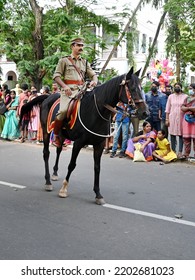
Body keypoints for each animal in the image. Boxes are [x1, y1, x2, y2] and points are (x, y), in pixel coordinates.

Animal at [20, 67, 148, 205]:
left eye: (142, 87)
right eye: (133, 88)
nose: (145, 112)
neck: (96, 111)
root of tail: (48, 97)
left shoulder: (99, 145)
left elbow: (97, 168)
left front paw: (98, 194)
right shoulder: (78, 143)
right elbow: (72, 165)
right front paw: (64, 189)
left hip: (61, 133)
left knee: (59, 149)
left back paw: (54, 173)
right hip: (46, 131)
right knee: (46, 153)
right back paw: (48, 181)